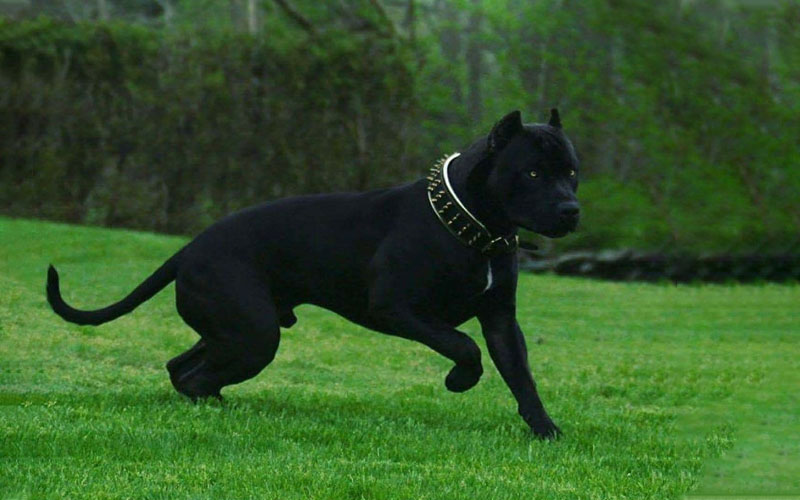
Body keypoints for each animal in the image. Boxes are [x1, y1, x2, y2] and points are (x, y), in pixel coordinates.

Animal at [47, 109, 580, 438]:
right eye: (533, 173)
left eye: (572, 172)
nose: (571, 209)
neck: (473, 226)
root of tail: (188, 249)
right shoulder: (397, 308)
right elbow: (462, 344)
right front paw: (459, 381)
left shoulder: (502, 320)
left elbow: (521, 375)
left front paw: (545, 429)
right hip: (253, 333)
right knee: (195, 375)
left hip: (233, 329)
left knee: (183, 367)